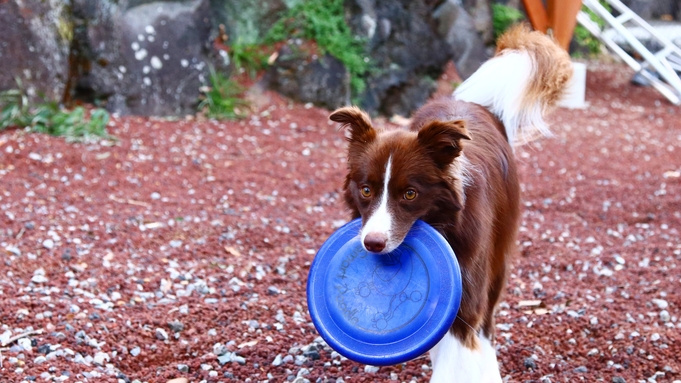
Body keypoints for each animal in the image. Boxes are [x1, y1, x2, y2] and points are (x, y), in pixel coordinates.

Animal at [330, 25, 572, 382]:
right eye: (366, 190)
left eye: (410, 194)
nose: (372, 244)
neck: (442, 222)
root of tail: (476, 104)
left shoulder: (469, 282)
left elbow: (462, 347)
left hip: (498, 255)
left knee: (486, 324)